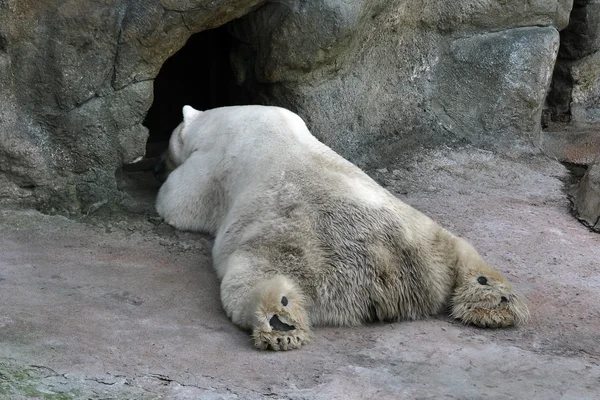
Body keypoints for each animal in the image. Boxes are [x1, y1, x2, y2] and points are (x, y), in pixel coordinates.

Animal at [156, 105, 528, 350]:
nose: (159, 160)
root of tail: (386, 267)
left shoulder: (213, 164)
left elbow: (180, 201)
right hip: (422, 233)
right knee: (461, 250)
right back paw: (493, 297)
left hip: (294, 251)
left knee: (250, 281)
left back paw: (280, 321)